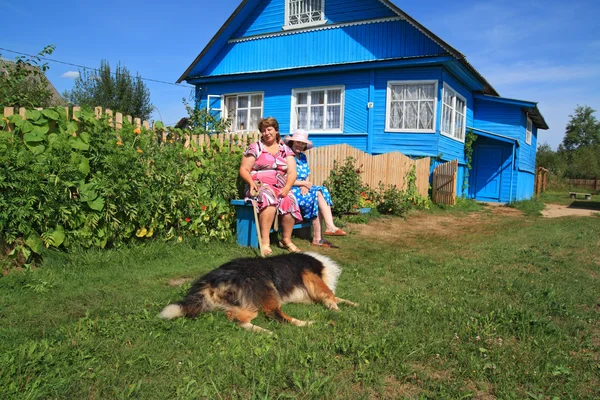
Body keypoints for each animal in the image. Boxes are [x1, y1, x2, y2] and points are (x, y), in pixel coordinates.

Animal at [159, 253, 356, 334]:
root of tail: (212, 280)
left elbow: (339, 297)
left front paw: (352, 303)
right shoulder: (310, 275)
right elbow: (329, 293)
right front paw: (336, 309)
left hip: (244, 304)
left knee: (237, 320)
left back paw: (262, 331)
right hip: (266, 288)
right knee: (275, 315)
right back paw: (307, 324)